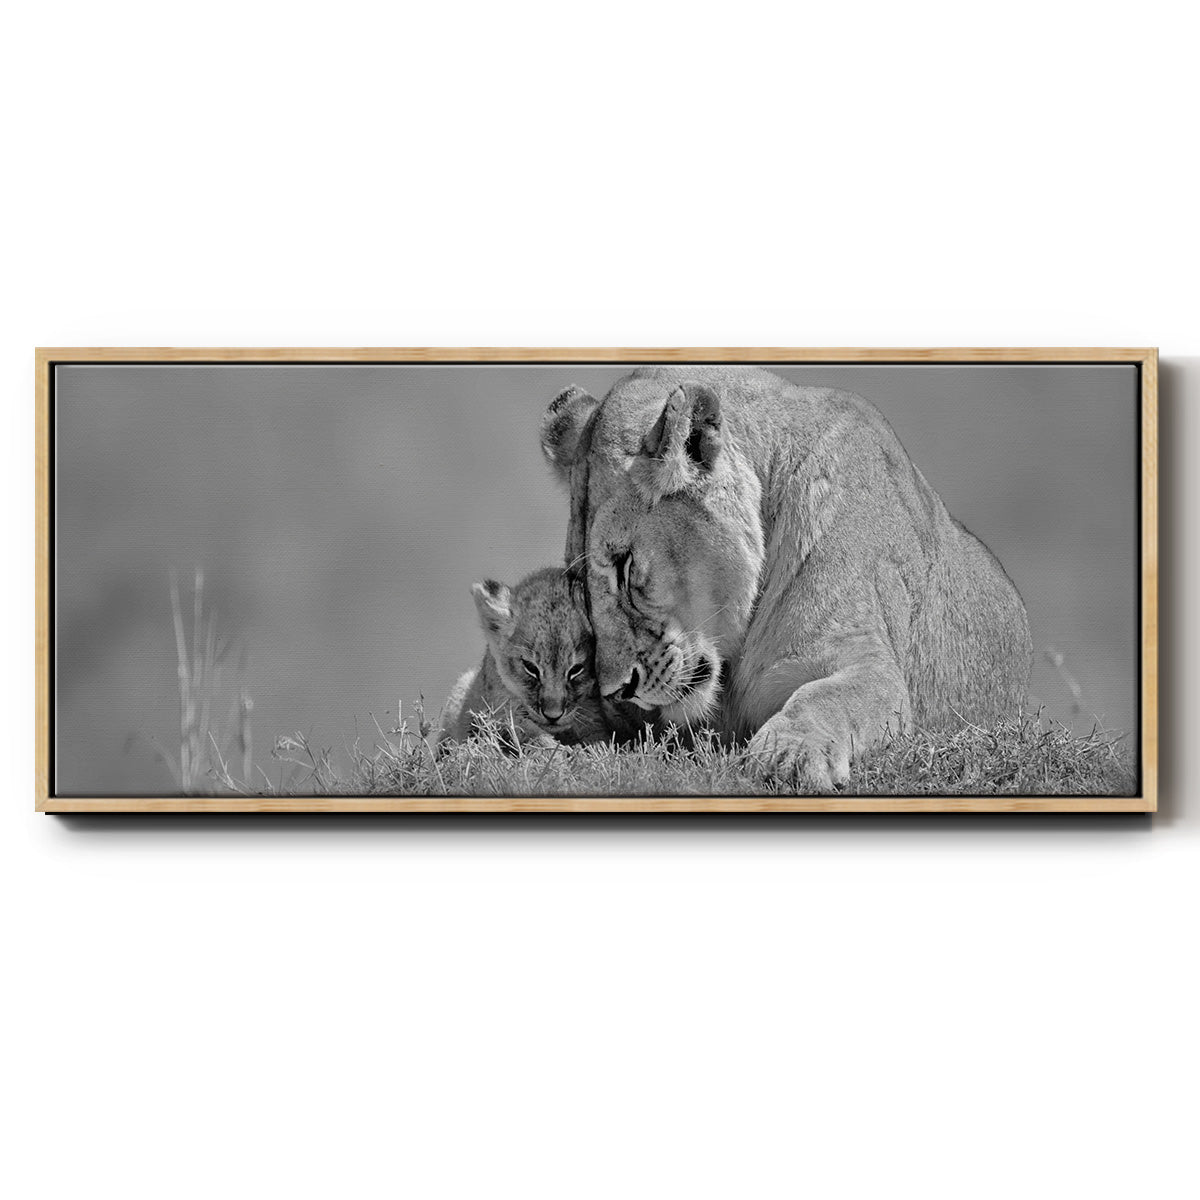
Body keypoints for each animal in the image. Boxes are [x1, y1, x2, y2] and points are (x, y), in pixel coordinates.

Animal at [540, 366, 1033, 790]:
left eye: (624, 565)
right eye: (581, 584)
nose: (616, 691)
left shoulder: (866, 661)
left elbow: (826, 697)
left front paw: (788, 754)